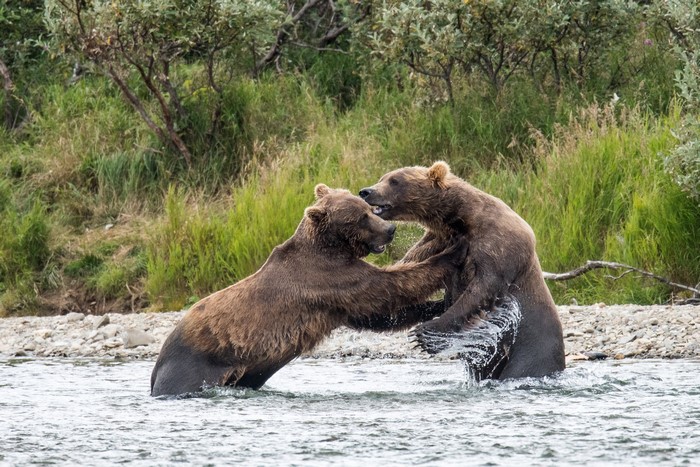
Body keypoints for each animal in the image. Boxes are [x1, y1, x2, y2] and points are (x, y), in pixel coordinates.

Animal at [150, 183, 465, 397]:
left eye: (369, 209)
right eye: (361, 217)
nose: (390, 230)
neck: (330, 247)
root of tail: (157, 365)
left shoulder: (339, 303)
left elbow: (376, 316)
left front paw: (439, 305)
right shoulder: (327, 279)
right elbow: (386, 287)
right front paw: (452, 252)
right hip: (195, 366)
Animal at [359, 161, 565, 380]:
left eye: (395, 180)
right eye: (382, 177)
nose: (366, 191)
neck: (461, 219)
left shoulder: (499, 245)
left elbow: (482, 289)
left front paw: (425, 333)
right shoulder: (437, 241)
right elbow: (409, 269)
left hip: (532, 349)